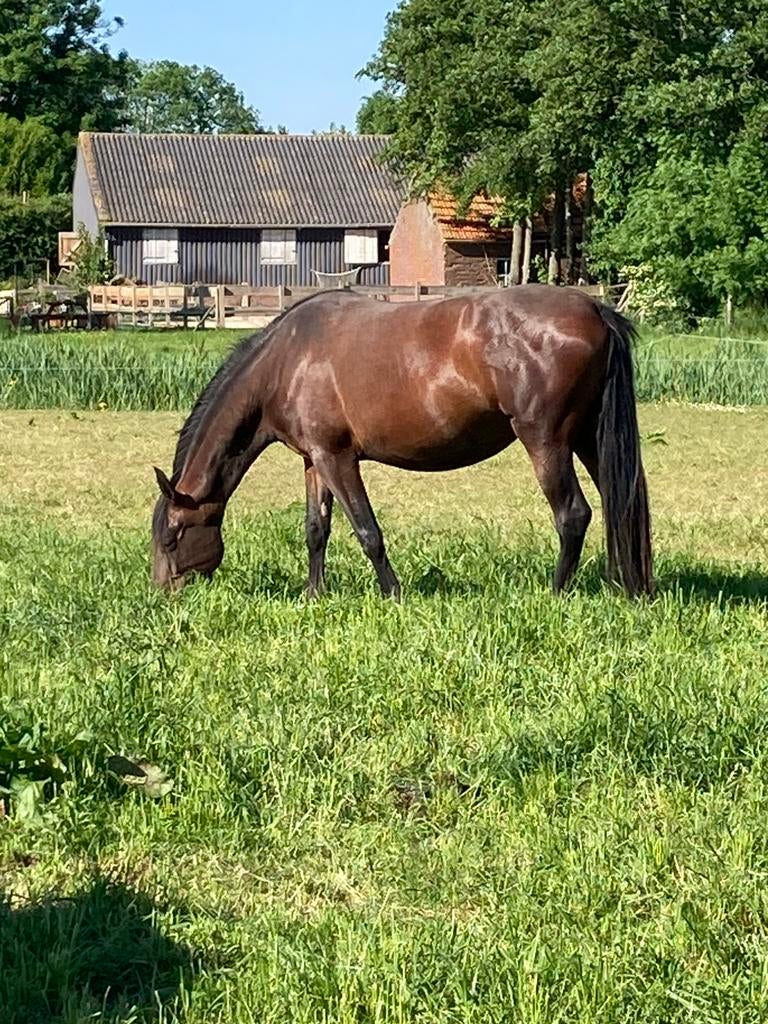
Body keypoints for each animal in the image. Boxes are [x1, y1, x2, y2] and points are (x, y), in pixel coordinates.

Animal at [151, 285, 652, 598]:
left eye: (173, 536)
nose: (161, 593)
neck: (287, 360)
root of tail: (595, 310)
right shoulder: (314, 459)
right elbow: (316, 530)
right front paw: (315, 594)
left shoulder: (338, 458)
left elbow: (367, 531)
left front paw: (392, 593)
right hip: (588, 438)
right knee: (621, 504)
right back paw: (629, 586)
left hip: (547, 440)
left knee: (573, 515)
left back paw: (556, 593)